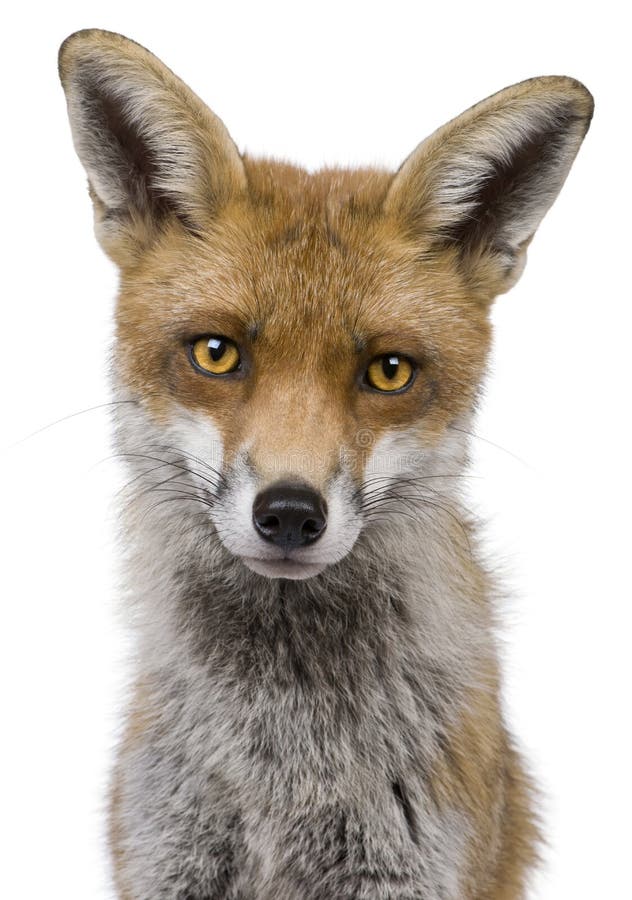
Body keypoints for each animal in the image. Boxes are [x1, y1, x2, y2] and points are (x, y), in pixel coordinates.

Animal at [58, 29, 592, 900]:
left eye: (389, 371)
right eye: (217, 353)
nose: (289, 513)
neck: (283, 756)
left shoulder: (405, 869)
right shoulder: (167, 858)